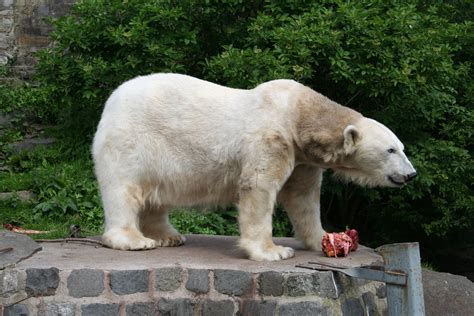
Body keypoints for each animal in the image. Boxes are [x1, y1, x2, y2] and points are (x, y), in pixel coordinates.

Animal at [91, 73, 414, 260]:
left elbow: (304, 199)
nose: (411, 174)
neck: (299, 114)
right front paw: (274, 251)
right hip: (133, 139)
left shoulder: (301, 158)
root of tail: (111, 100)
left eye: (402, 147)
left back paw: (168, 235)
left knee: (157, 194)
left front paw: (323, 238)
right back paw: (134, 240)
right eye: (390, 149)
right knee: (125, 189)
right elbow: (259, 188)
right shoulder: (272, 138)